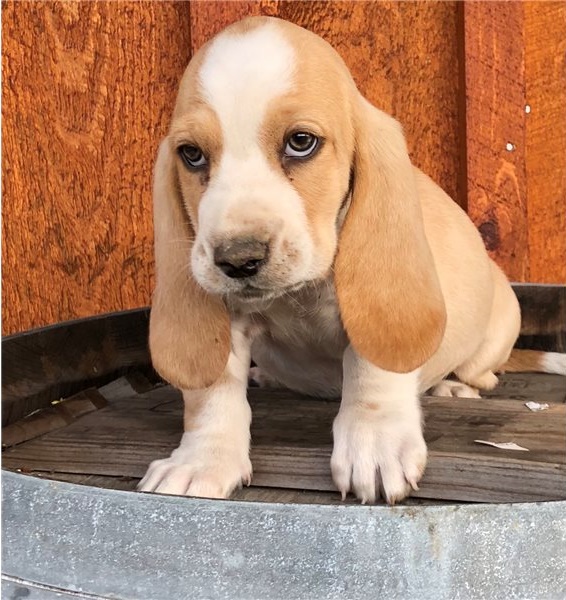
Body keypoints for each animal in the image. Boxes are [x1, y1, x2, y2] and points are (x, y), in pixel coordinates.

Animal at [138, 15, 564, 502]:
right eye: (191, 154)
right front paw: (201, 461)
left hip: (498, 327)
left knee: (485, 373)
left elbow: (369, 368)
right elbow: (213, 393)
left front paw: (374, 444)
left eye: (301, 142)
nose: (238, 260)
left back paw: (453, 387)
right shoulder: (225, 316)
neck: (299, 293)